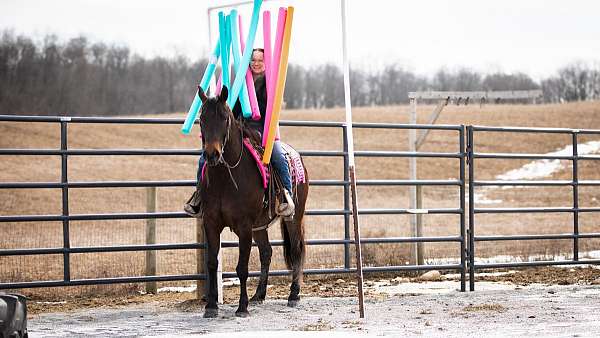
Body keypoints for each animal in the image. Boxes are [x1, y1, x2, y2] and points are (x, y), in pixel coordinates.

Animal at [197, 85, 310, 316]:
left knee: (295, 250)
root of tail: (297, 156)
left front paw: (242, 306)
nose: (212, 154)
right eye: (202, 119)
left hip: (293, 217)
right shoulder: (211, 223)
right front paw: (211, 306)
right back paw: (259, 294)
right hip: (259, 226)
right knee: (266, 252)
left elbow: (242, 267)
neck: (225, 178)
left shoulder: (244, 226)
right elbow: (212, 263)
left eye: (224, 118)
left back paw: (293, 295)